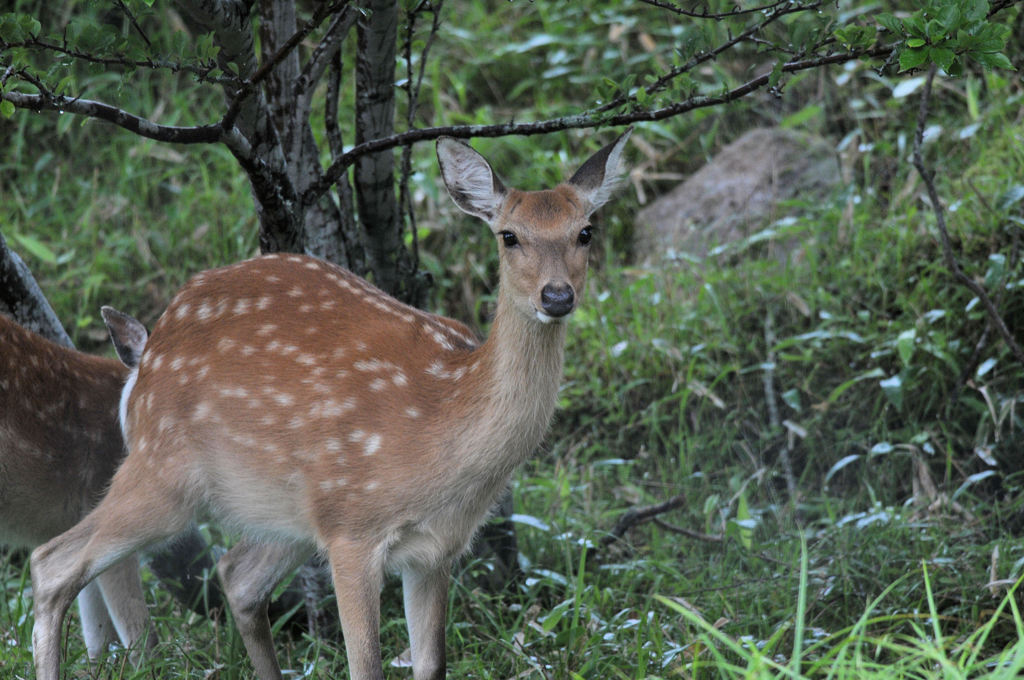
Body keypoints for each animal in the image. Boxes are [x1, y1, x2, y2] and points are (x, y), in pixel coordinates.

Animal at [32, 129, 630, 680]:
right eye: (509, 236)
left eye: (585, 232)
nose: (557, 296)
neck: (442, 423)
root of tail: (145, 360)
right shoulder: (353, 528)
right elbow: (364, 666)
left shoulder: (435, 549)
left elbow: (430, 665)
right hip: (166, 470)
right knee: (52, 561)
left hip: (283, 507)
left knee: (237, 575)